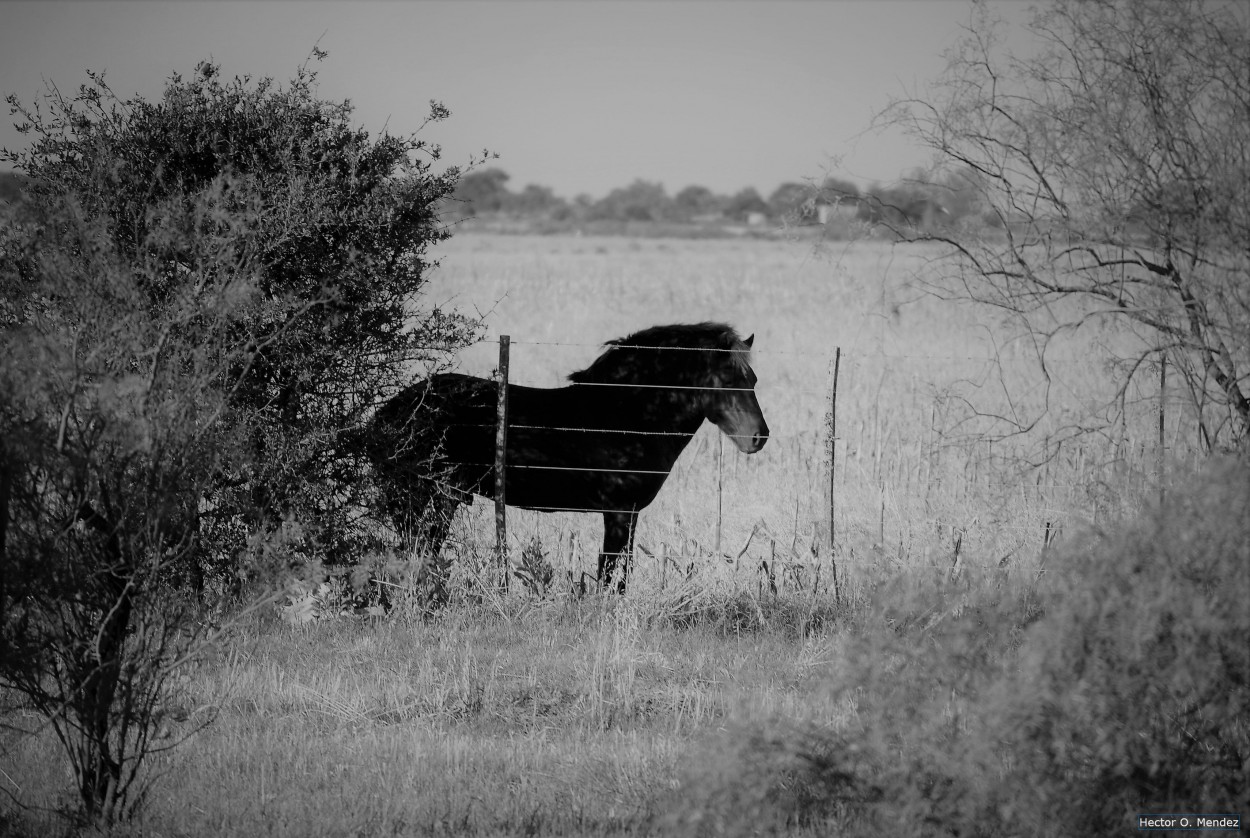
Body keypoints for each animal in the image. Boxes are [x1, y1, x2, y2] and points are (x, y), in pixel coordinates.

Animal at [365, 320, 765, 590]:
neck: (626, 414)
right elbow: (609, 573)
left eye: (754, 380)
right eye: (727, 381)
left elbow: (622, 573)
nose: (760, 437)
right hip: (427, 500)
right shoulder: (617, 513)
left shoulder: (630, 514)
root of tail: (387, 415)